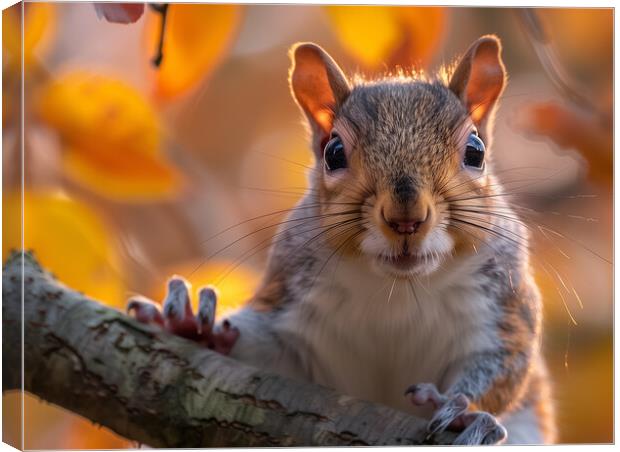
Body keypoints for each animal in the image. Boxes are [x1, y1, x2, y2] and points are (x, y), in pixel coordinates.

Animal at [127, 35, 556, 444]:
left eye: (475, 151)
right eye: (333, 153)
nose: (405, 217)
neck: (397, 290)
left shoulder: (503, 307)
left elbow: (503, 367)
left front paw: (463, 408)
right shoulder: (291, 302)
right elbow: (264, 350)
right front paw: (191, 325)